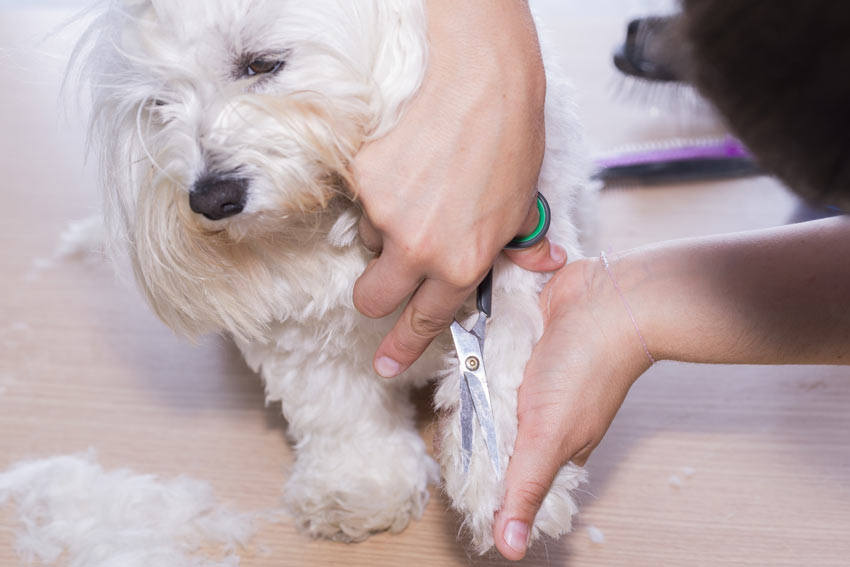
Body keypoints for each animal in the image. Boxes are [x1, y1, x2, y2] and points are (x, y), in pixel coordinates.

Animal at [76, 0, 588, 556]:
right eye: (159, 103)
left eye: (261, 64)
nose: (211, 197)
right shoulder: (303, 337)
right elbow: (341, 411)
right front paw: (361, 487)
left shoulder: (512, 264)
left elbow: (506, 355)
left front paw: (498, 484)